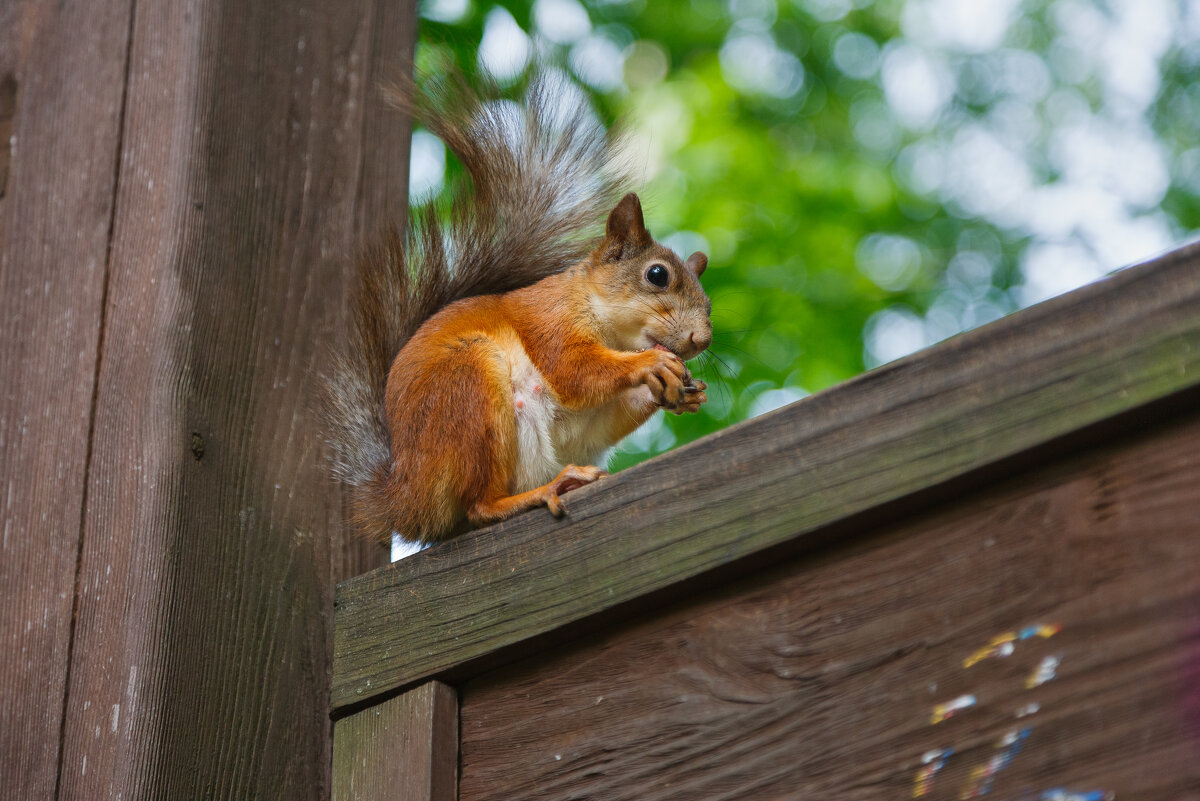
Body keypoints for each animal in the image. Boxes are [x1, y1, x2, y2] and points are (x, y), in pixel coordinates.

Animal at [321, 73, 710, 544]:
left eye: (709, 304)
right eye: (657, 275)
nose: (702, 339)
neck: (609, 328)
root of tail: (407, 498)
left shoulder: (596, 420)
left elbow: (609, 415)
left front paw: (684, 392)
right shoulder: (548, 320)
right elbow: (573, 370)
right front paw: (651, 364)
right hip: (467, 387)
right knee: (479, 507)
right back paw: (544, 490)